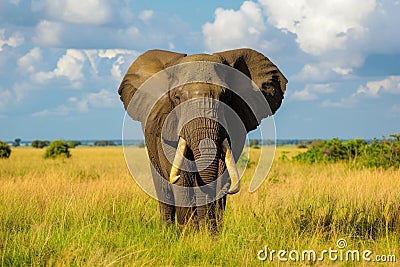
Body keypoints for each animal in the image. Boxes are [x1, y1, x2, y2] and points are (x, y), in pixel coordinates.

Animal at [117, 48, 286, 232]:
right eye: (177, 97)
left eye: (226, 96)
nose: (203, 227)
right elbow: (181, 176)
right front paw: (189, 232)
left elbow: (222, 171)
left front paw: (210, 233)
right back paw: (168, 231)